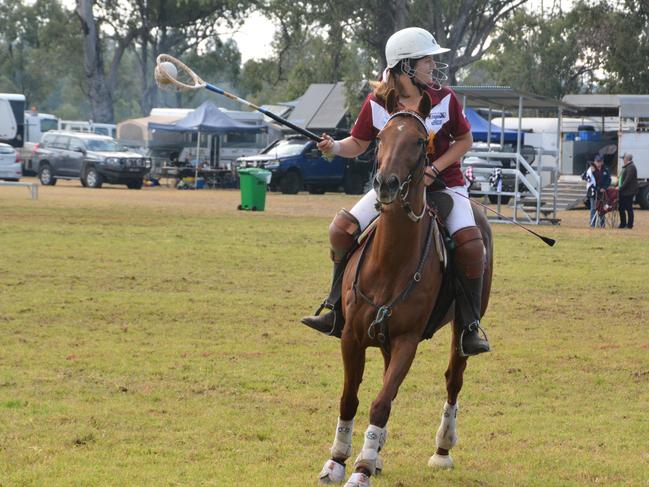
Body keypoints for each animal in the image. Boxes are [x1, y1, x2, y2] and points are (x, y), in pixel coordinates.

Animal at [318, 89, 492, 486]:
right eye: (381, 138)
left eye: (417, 141)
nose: (386, 184)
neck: (390, 262)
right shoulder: (352, 335)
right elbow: (350, 398)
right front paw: (338, 460)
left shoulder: (407, 341)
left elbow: (381, 402)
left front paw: (362, 468)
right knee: (343, 227)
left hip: (462, 320)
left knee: (453, 379)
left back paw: (441, 450)